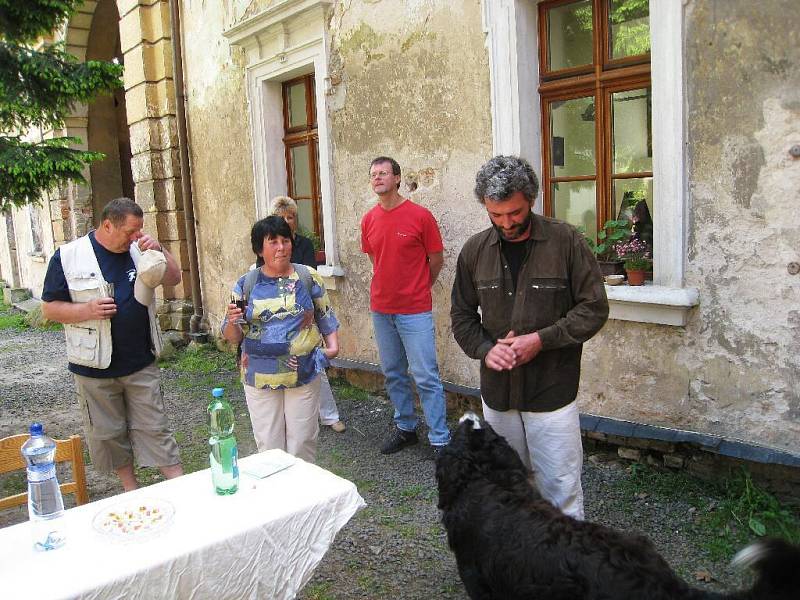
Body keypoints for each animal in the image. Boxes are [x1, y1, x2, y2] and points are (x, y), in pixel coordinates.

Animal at [438, 412, 800, 600]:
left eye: (469, 431)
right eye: (489, 434)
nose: (470, 416)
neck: (486, 479)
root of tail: (663, 581)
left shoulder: (476, 575)